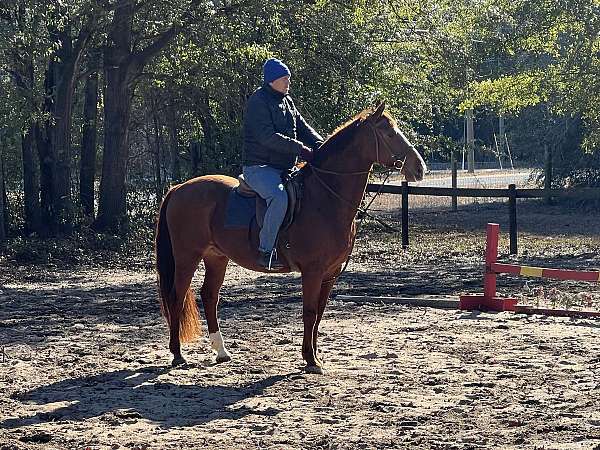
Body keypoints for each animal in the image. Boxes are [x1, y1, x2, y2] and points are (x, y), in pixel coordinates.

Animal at [156, 103, 426, 374]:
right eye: (389, 133)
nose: (419, 167)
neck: (324, 198)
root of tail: (178, 189)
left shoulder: (330, 273)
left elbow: (319, 313)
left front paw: (316, 357)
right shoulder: (313, 271)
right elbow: (309, 312)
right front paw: (310, 360)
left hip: (216, 257)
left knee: (209, 296)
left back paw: (221, 351)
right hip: (187, 257)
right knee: (176, 297)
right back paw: (178, 354)